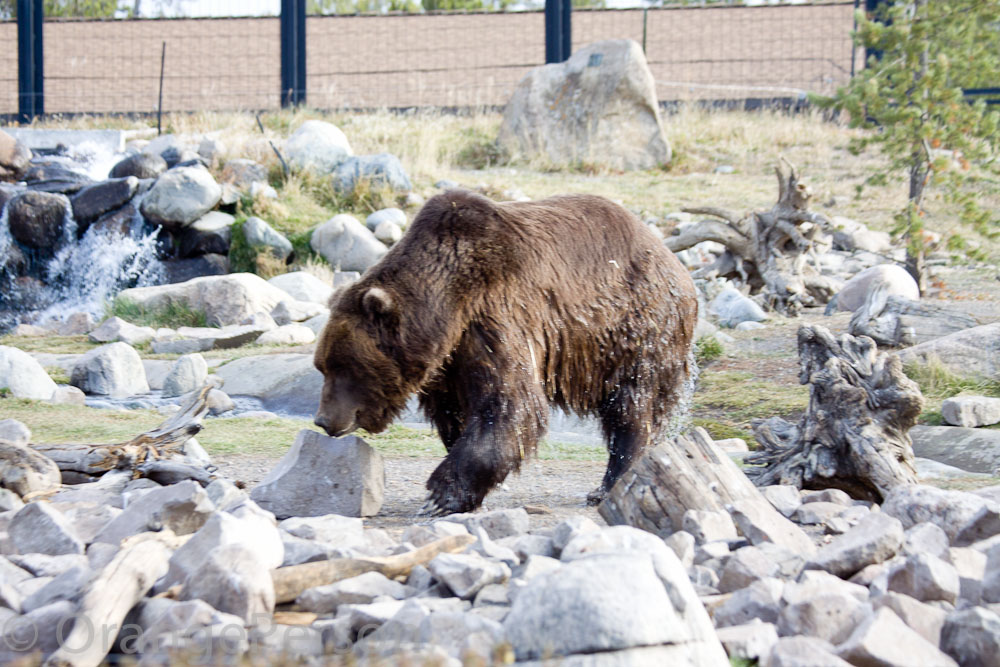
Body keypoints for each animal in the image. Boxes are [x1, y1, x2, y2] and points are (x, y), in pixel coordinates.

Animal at [314, 189, 698, 515]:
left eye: (344, 367)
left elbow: (510, 404)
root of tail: (673, 260)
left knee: (630, 407)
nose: (323, 420)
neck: (446, 306)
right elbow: (457, 413)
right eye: (323, 366)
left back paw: (609, 484)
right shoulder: (450, 363)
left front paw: (440, 495)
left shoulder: (498, 315)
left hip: (635, 329)